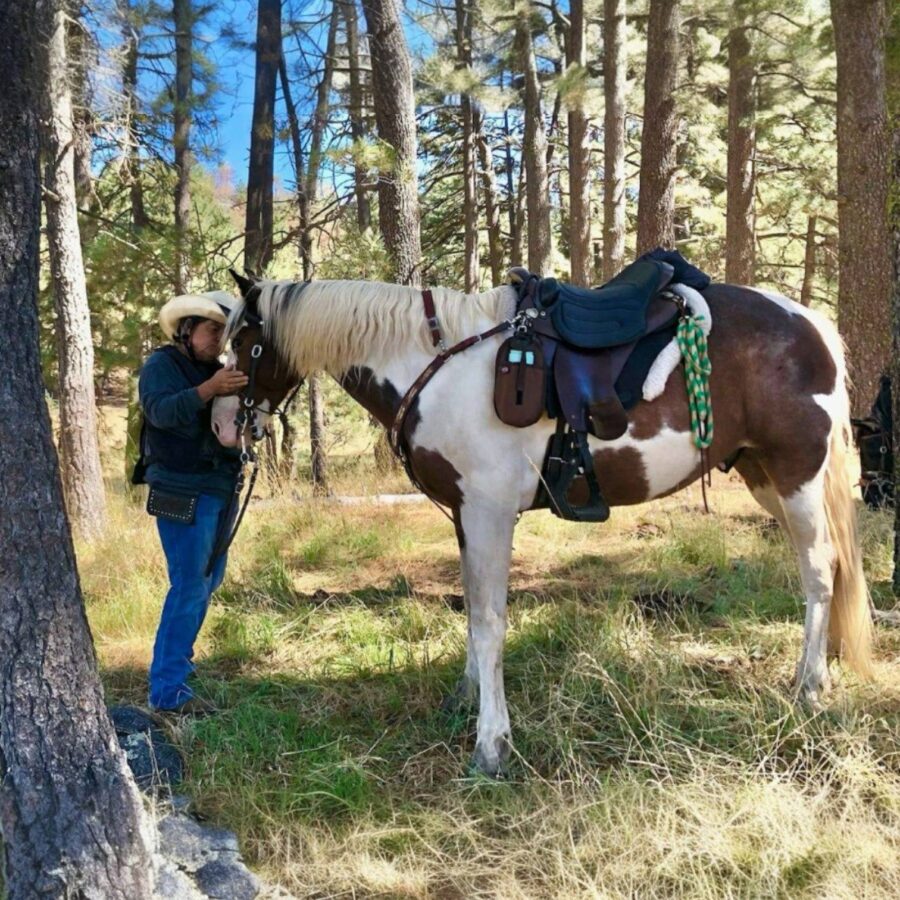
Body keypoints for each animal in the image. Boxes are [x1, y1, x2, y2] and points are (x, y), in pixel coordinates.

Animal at [211, 272, 873, 777]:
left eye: (245, 343)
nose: (222, 426)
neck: (436, 367)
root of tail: (812, 325)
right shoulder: (466, 516)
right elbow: (472, 614)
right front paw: (467, 701)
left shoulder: (489, 512)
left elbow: (490, 624)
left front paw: (492, 745)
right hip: (765, 478)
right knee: (826, 569)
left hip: (796, 477)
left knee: (819, 572)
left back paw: (809, 688)